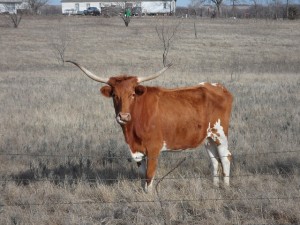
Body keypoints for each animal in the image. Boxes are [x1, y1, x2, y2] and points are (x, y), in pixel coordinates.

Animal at [68, 60, 234, 192]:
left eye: (132, 94)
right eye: (115, 95)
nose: (123, 116)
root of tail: (217, 86)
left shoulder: (154, 149)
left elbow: (149, 176)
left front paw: (149, 196)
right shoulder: (137, 150)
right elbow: (142, 176)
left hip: (220, 134)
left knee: (225, 157)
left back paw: (226, 187)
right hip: (208, 138)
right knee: (214, 160)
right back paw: (214, 186)